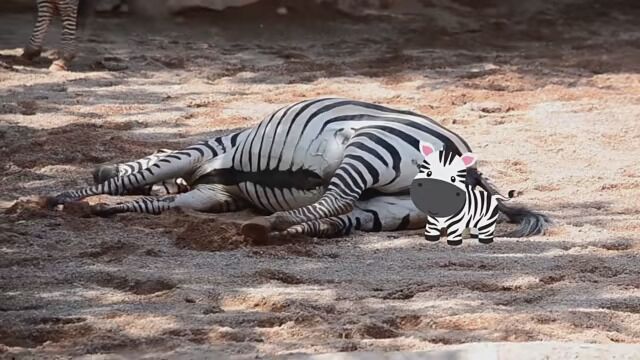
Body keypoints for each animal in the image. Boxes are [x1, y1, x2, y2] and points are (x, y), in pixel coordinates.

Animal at [48, 97, 552, 242]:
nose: (96, 171)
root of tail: (475, 172)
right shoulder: (215, 196)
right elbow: (159, 203)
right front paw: (108, 209)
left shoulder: (205, 149)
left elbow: (134, 176)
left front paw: (60, 198)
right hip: (396, 209)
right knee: (341, 218)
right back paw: (277, 228)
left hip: (368, 146)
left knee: (337, 197)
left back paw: (275, 222)